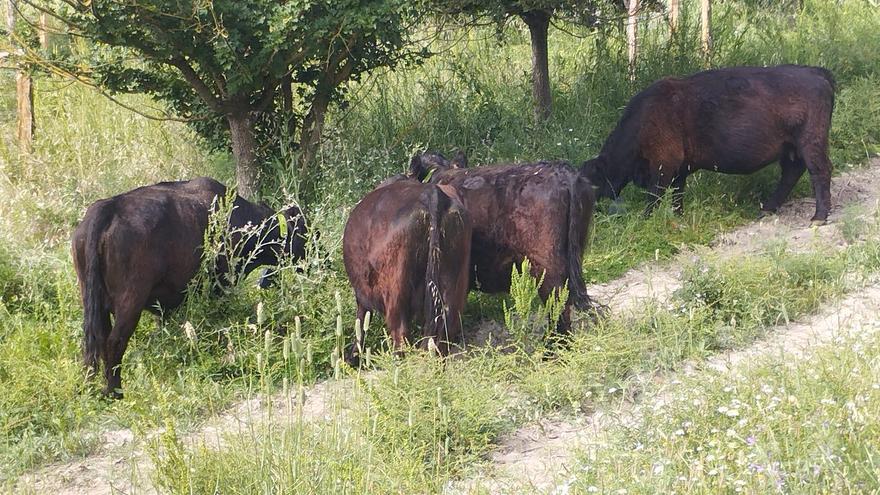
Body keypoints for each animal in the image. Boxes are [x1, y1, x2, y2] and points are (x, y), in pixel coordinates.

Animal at [71, 177, 308, 398]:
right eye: (304, 231)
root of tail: (108, 207)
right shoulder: (220, 285)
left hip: (94, 303)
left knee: (96, 341)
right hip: (130, 302)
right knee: (114, 342)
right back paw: (115, 391)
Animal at [342, 177, 472, 359]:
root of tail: (431, 193)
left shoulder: (362, 294)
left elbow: (360, 323)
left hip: (395, 295)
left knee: (401, 336)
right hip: (452, 286)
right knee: (444, 335)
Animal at [581, 65, 836, 224]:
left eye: (592, 182)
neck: (644, 118)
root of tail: (815, 72)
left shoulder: (664, 165)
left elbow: (655, 195)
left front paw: (645, 219)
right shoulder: (679, 169)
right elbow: (676, 194)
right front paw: (677, 216)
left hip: (810, 143)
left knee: (819, 171)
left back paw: (818, 217)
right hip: (790, 148)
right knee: (792, 173)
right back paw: (766, 209)